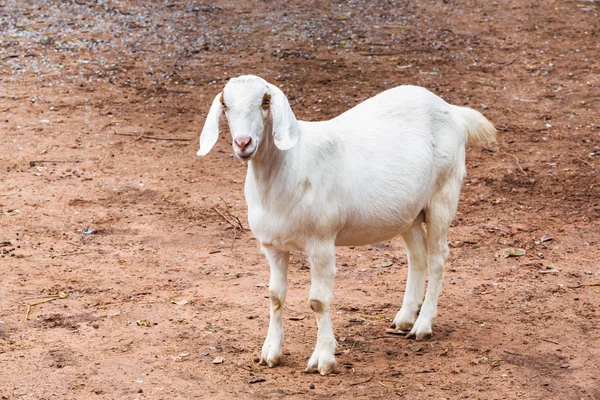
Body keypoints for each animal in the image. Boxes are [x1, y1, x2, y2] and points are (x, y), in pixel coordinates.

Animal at [196, 75, 492, 376]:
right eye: (225, 104)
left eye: (266, 101)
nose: (243, 143)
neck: (287, 168)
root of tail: (453, 111)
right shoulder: (273, 246)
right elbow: (275, 296)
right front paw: (271, 353)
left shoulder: (321, 242)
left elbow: (317, 301)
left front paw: (323, 358)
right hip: (408, 211)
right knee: (417, 256)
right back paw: (405, 318)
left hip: (443, 195)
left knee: (438, 258)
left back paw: (423, 325)